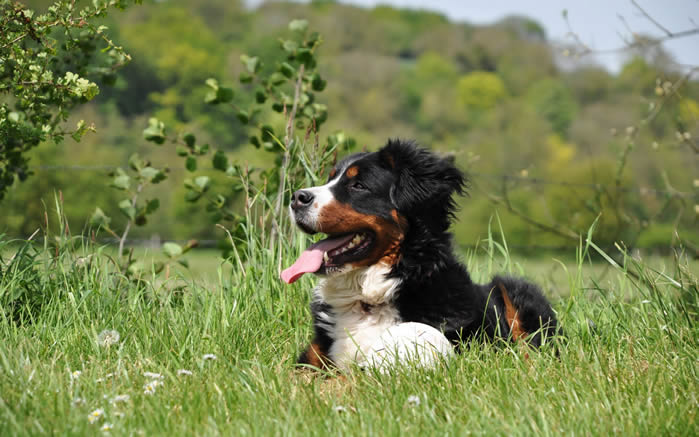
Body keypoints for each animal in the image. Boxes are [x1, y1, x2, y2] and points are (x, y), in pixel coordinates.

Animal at [282, 138, 560, 370]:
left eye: (358, 185)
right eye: (329, 179)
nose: (296, 198)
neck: (367, 301)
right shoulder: (313, 357)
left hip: (514, 290)